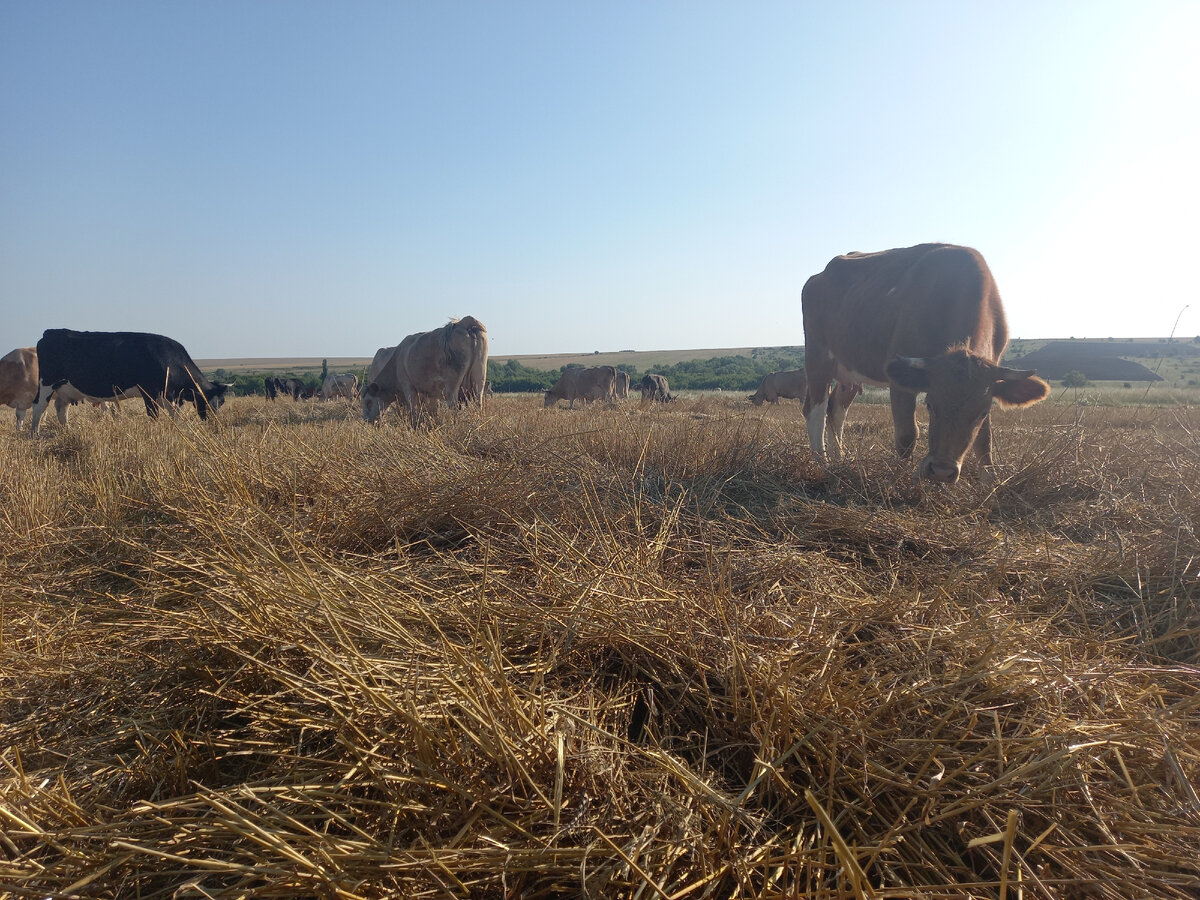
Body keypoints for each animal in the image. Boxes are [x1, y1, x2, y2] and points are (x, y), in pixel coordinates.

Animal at [28, 328, 231, 434]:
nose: (215, 425)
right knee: (39, 407)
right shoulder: (149, 390)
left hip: (64, 389)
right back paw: (34, 435)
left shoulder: (171, 396)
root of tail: (51, 332)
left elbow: (175, 414)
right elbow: (153, 414)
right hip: (46, 384)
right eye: (209, 402)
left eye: (221, 403)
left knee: (61, 409)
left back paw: (67, 431)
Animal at [806, 243, 1051, 482]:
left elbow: (984, 440)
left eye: (982, 413)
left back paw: (839, 459)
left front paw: (989, 482)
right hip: (818, 357)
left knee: (836, 409)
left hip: (848, 372)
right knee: (815, 409)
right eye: (930, 405)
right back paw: (822, 463)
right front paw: (902, 479)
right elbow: (907, 435)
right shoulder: (901, 381)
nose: (942, 471)